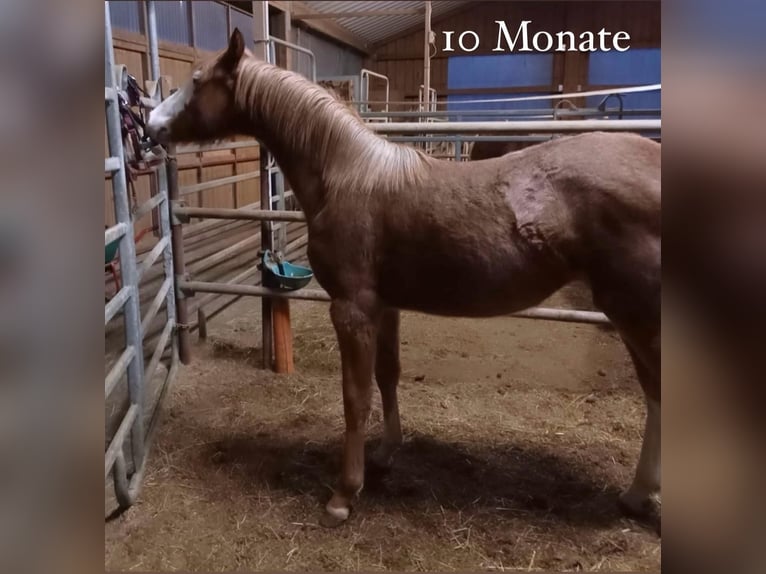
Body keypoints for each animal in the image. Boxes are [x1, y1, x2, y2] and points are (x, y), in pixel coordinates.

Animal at [148, 31, 660, 532]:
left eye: (197, 80)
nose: (151, 124)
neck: (346, 176)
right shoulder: (385, 306)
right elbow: (387, 375)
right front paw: (386, 452)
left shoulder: (351, 309)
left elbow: (354, 397)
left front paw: (343, 495)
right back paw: (638, 497)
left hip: (636, 313)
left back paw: (641, 499)